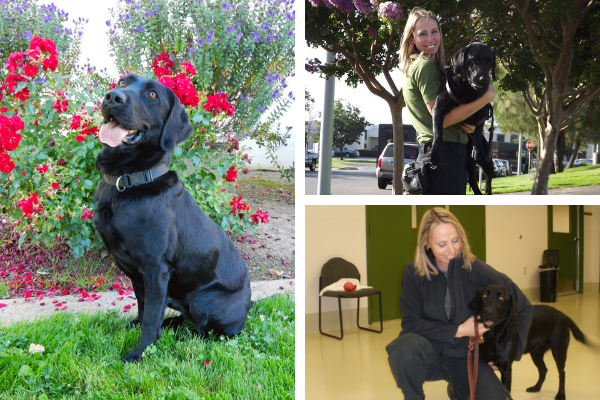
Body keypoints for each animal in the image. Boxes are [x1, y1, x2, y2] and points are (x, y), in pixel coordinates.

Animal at [94, 74, 253, 362]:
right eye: (123, 81)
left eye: (153, 95)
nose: (113, 97)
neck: (129, 181)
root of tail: (248, 306)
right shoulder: (138, 274)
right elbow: (144, 307)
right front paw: (139, 329)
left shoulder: (156, 268)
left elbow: (151, 316)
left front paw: (139, 353)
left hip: (202, 301)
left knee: (202, 330)